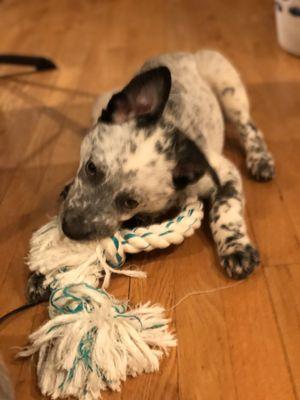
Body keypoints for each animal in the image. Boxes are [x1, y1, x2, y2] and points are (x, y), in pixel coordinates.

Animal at [28, 50, 274, 302]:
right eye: (91, 167)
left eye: (130, 202)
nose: (71, 229)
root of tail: (186, 52)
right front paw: (46, 272)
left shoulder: (224, 173)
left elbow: (225, 211)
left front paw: (236, 249)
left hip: (229, 90)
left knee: (249, 127)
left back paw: (260, 159)